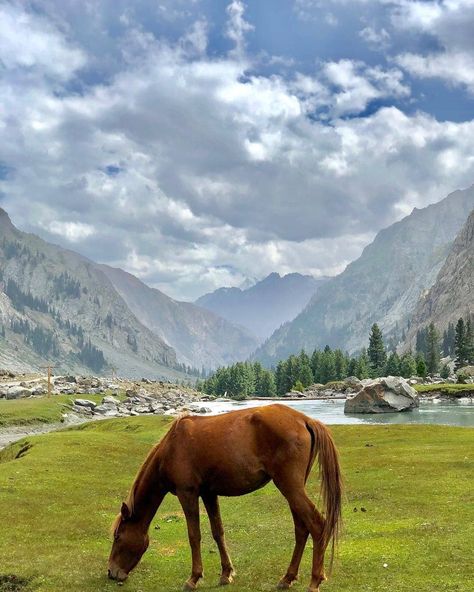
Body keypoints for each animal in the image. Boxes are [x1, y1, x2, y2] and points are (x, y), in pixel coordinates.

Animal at [107, 404, 340, 588]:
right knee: (301, 529)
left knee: (317, 525)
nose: (111, 573)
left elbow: (194, 535)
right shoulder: (209, 494)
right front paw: (226, 574)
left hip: (289, 486)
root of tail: (305, 420)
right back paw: (288, 578)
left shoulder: (187, 493)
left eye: (118, 537)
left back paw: (315, 580)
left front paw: (194, 578)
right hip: (293, 489)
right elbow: (218, 532)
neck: (172, 446)